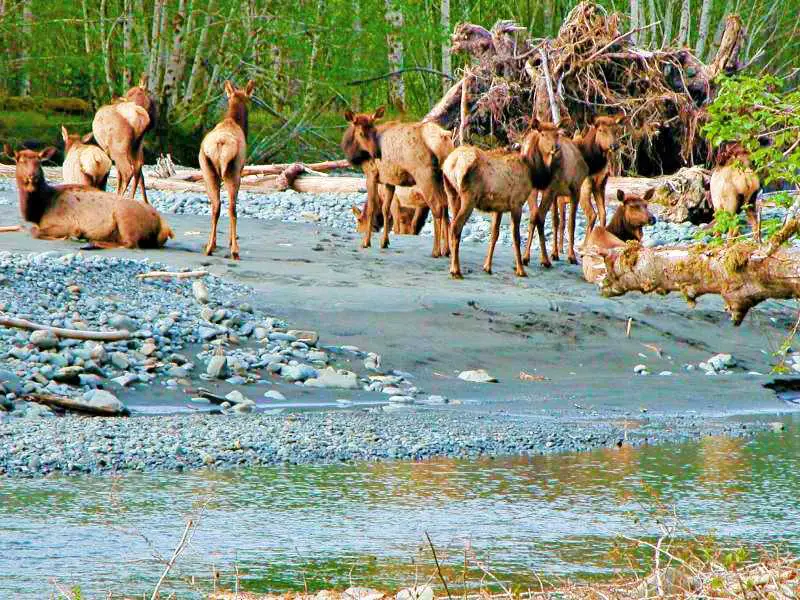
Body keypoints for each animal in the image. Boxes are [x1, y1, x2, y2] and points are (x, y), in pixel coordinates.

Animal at [6, 145, 173, 248]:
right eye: (20, 161)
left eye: (39, 162)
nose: (32, 176)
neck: (39, 210)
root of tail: (164, 226)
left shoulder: (66, 223)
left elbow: (34, 231)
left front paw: (70, 235)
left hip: (125, 217)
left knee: (130, 243)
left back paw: (92, 243)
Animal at [198, 78, 255, 258]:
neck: (234, 121)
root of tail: (220, 143)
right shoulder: (241, 170)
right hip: (233, 172)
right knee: (231, 207)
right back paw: (234, 249)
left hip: (207, 171)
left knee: (215, 206)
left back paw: (210, 246)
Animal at [340, 107, 454, 255]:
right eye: (361, 133)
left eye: (359, 220)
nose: (376, 154)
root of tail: (443, 136)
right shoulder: (389, 181)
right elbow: (385, 210)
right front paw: (384, 242)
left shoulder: (371, 174)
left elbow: (372, 208)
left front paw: (366, 242)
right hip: (443, 177)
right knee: (446, 207)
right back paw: (446, 250)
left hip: (424, 174)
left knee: (437, 206)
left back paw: (436, 250)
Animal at [440, 123, 560, 282]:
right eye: (542, 134)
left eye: (557, 133)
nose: (555, 147)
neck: (532, 171)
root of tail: (451, 164)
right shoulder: (516, 203)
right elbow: (516, 237)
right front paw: (520, 269)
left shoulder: (499, 207)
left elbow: (494, 235)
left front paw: (487, 267)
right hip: (468, 198)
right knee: (456, 227)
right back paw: (456, 270)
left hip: (451, 193)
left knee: (452, 224)